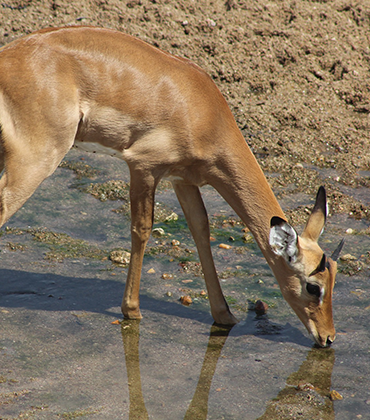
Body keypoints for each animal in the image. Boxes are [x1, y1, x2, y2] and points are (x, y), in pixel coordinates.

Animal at [0, 27, 344, 348]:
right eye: (313, 286)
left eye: (335, 279)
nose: (328, 337)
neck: (203, 111)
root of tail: (8, 57)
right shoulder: (143, 167)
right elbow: (142, 229)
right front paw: (132, 310)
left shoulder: (183, 180)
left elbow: (201, 230)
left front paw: (224, 315)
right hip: (36, 161)